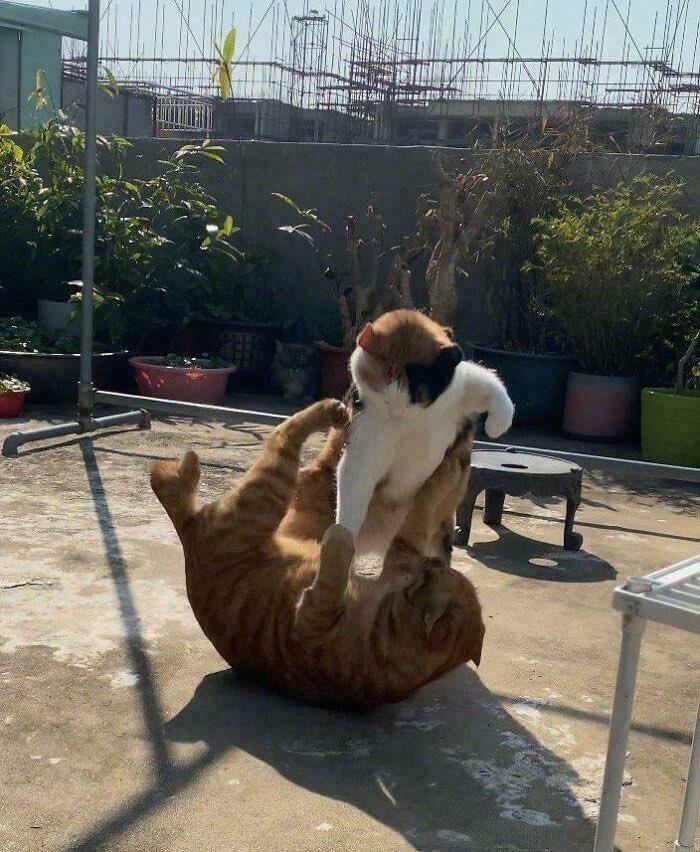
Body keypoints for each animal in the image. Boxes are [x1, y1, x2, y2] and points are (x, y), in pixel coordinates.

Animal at [150, 402, 484, 708]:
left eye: (428, 575)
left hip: (265, 495)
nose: (429, 563)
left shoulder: (312, 617)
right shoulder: (405, 546)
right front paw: (453, 460)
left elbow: (340, 557)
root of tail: (190, 534)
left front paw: (341, 537)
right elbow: (425, 502)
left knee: (283, 436)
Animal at [336, 310, 512, 556]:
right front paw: (343, 538)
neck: (412, 421)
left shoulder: (458, 390)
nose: (396, 411)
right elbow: (352, 498)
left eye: (415, 395)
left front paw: (497, 425)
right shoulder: (364, 452)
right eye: (385, 397)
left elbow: (490, 385)